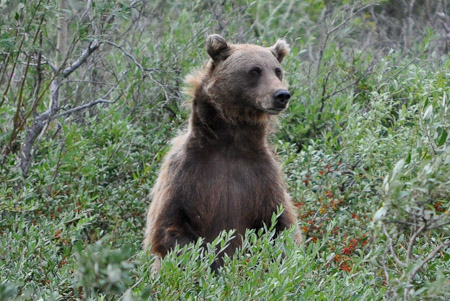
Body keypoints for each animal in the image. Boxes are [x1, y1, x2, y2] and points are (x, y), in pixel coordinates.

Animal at [144, 34, 302, 270]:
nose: (282, 94)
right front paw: (211, 263)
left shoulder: (262, 177)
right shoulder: (185, 172)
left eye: (277, 70)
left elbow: (281, 225)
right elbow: (169, 226)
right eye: (255, 70)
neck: (230, 143)